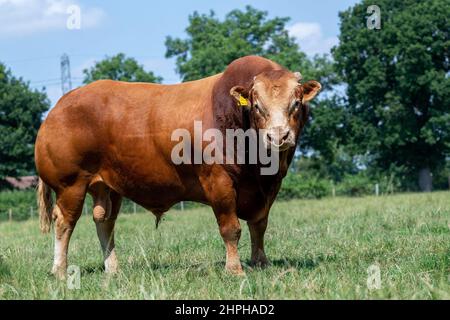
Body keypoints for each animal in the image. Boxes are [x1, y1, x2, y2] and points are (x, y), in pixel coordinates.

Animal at [35, 55, 320, 278]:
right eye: (258, 106)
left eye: (295, 103)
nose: (279, 136)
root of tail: (60, 105)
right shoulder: (218, 181)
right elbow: (231, 229)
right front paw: (234, 269)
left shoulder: (270, 186)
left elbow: (259, 226)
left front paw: (261, 263)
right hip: (71, 184)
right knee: (65, 222)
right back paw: (60, 270)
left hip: (107, 186)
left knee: (104, 221)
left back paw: (113, 269)